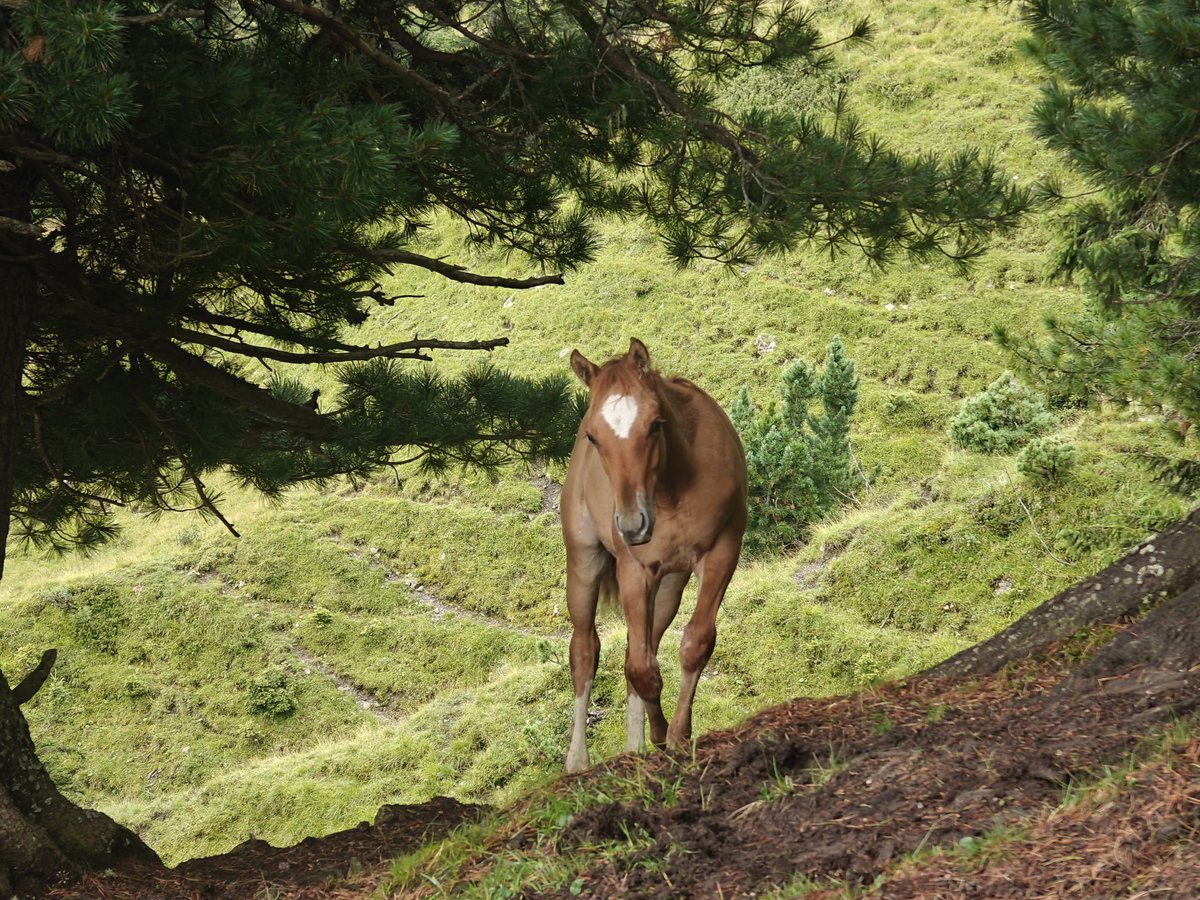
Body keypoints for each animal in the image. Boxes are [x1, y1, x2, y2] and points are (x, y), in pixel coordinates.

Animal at [562, 338, 748, 774]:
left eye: (655, 423)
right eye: (593, 436)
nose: (632, 526)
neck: (671, 490)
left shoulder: (722, 551)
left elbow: (693, 643)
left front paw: (676, 735)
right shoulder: (635, 570)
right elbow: (641, 669)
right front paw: (663, 734)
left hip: (670, 586)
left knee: (643, 643)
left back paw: (636, 747)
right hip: (584, 563)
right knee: (585, 651)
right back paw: (578, 761)